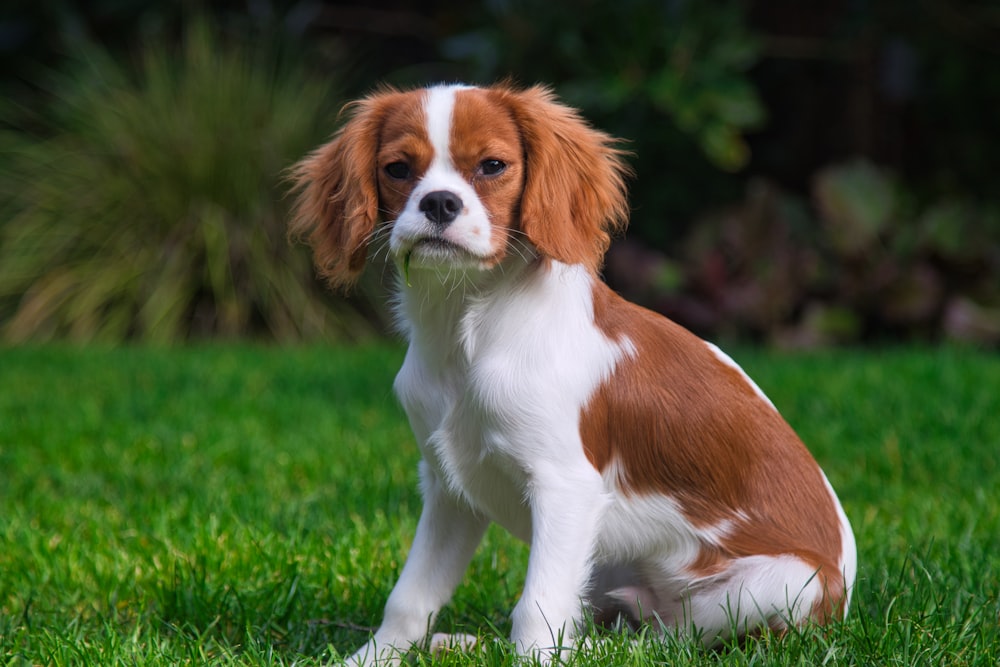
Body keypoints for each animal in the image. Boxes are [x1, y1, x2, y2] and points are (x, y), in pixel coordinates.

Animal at [288, 83, 852, 667]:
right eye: (398, 169)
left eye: (492, 166)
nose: (439, 202)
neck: (467, 324)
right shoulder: (448, 489)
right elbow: (412, 594)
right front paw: (376, 657)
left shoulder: (565, 488)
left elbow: (537, 608)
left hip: (782, 581)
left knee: (675, 636)